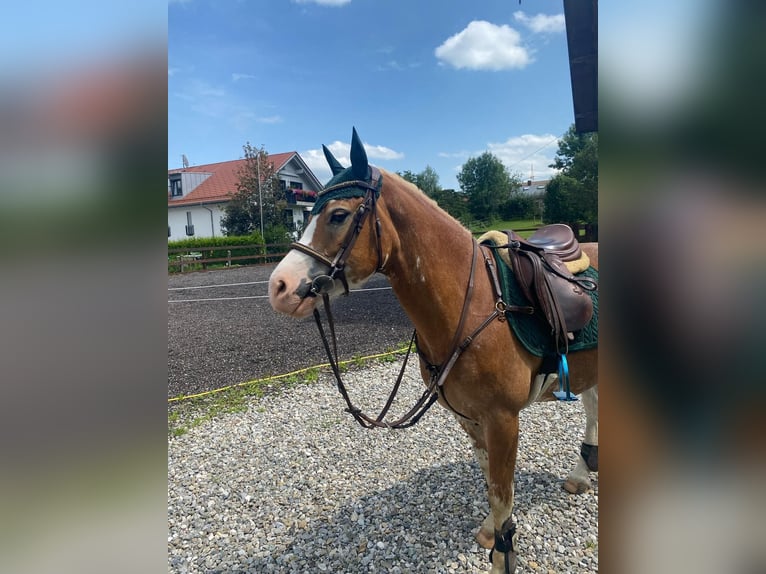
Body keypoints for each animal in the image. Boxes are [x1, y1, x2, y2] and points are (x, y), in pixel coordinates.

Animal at [268, 129, 598, 573]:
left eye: (337, 215)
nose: (279, 287)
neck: (472, 301)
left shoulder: (503, 419)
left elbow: (502, 494)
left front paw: (502, 553)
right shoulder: (471, 419)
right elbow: (492, 486)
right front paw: (490, 531)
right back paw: (581, 476)